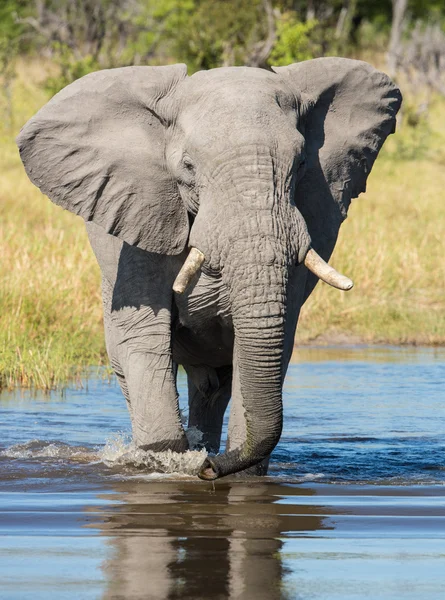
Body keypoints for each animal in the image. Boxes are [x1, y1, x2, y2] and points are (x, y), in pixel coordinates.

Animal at [17, 56, 400, 478]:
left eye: (301, 164)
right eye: (188, 166)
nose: (209, 469)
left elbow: (267, 343)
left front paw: (236, 469)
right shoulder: (137, 216)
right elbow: (142, 335)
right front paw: (166, 462)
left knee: (214, 385)